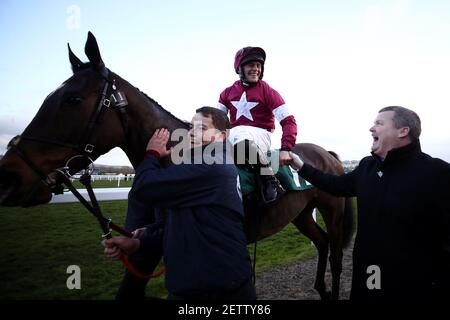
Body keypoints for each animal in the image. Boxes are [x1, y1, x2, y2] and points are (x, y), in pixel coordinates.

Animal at [0, 32, 354, 300]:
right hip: (300, 214)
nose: (8, 177)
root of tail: (329, 156)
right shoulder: (152, 244)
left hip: (332, 210)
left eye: (71, 99)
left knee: (336, 255)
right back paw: (321, 290)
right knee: (321, 242)